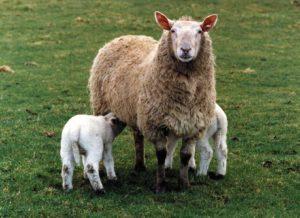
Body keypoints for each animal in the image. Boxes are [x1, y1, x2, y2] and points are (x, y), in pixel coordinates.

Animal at [89, 11, 218, 192]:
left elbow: (185, 156)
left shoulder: (193, 125)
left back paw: (140, 165)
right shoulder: (155, 124)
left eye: (199, 31)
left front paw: (184, 184)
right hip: (102, 106)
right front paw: (161, 184)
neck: (186, 95)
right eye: (173, 30)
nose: (185, 50)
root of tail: (127, 36)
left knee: (137, 136)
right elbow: (161, 155)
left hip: (136, 111)